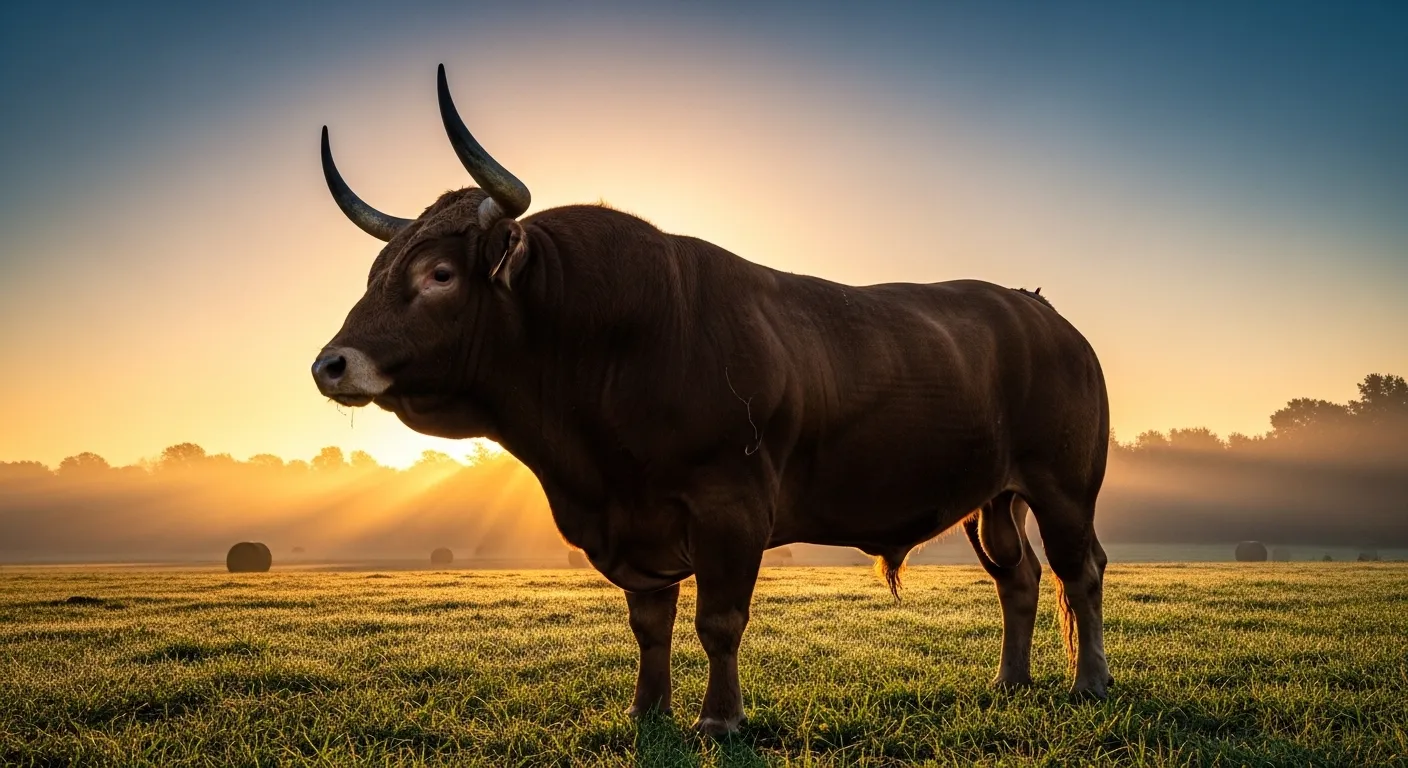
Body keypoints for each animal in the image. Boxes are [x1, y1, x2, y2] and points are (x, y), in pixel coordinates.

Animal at [312, 65, 1112, 735]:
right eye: (377, 272)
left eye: (439, 275)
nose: (331, 364)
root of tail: (1039, 311)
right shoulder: (633, 525)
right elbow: (650, 624)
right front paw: (647, 711)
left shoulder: (732, 509)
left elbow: (719, 621)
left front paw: (720, 720)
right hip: (992, 498)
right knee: (1019, 577)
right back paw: (1010, 682)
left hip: (1065, 486)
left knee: (1081, 571)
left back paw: (1090, 683)